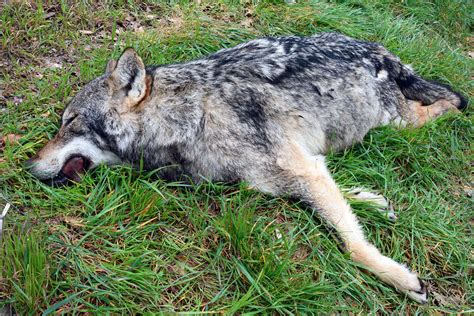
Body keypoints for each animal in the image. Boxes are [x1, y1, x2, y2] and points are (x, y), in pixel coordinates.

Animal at [26, 32, 466, 304]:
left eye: (70, 122)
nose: (29, 166)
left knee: (448, 104)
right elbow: (337, 199)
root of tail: (378, 49)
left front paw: (399, 278)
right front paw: (371, 201)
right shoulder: (294, 171)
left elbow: (353, 246)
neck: (187, 119)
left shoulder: (300, 168)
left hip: (397, 122)